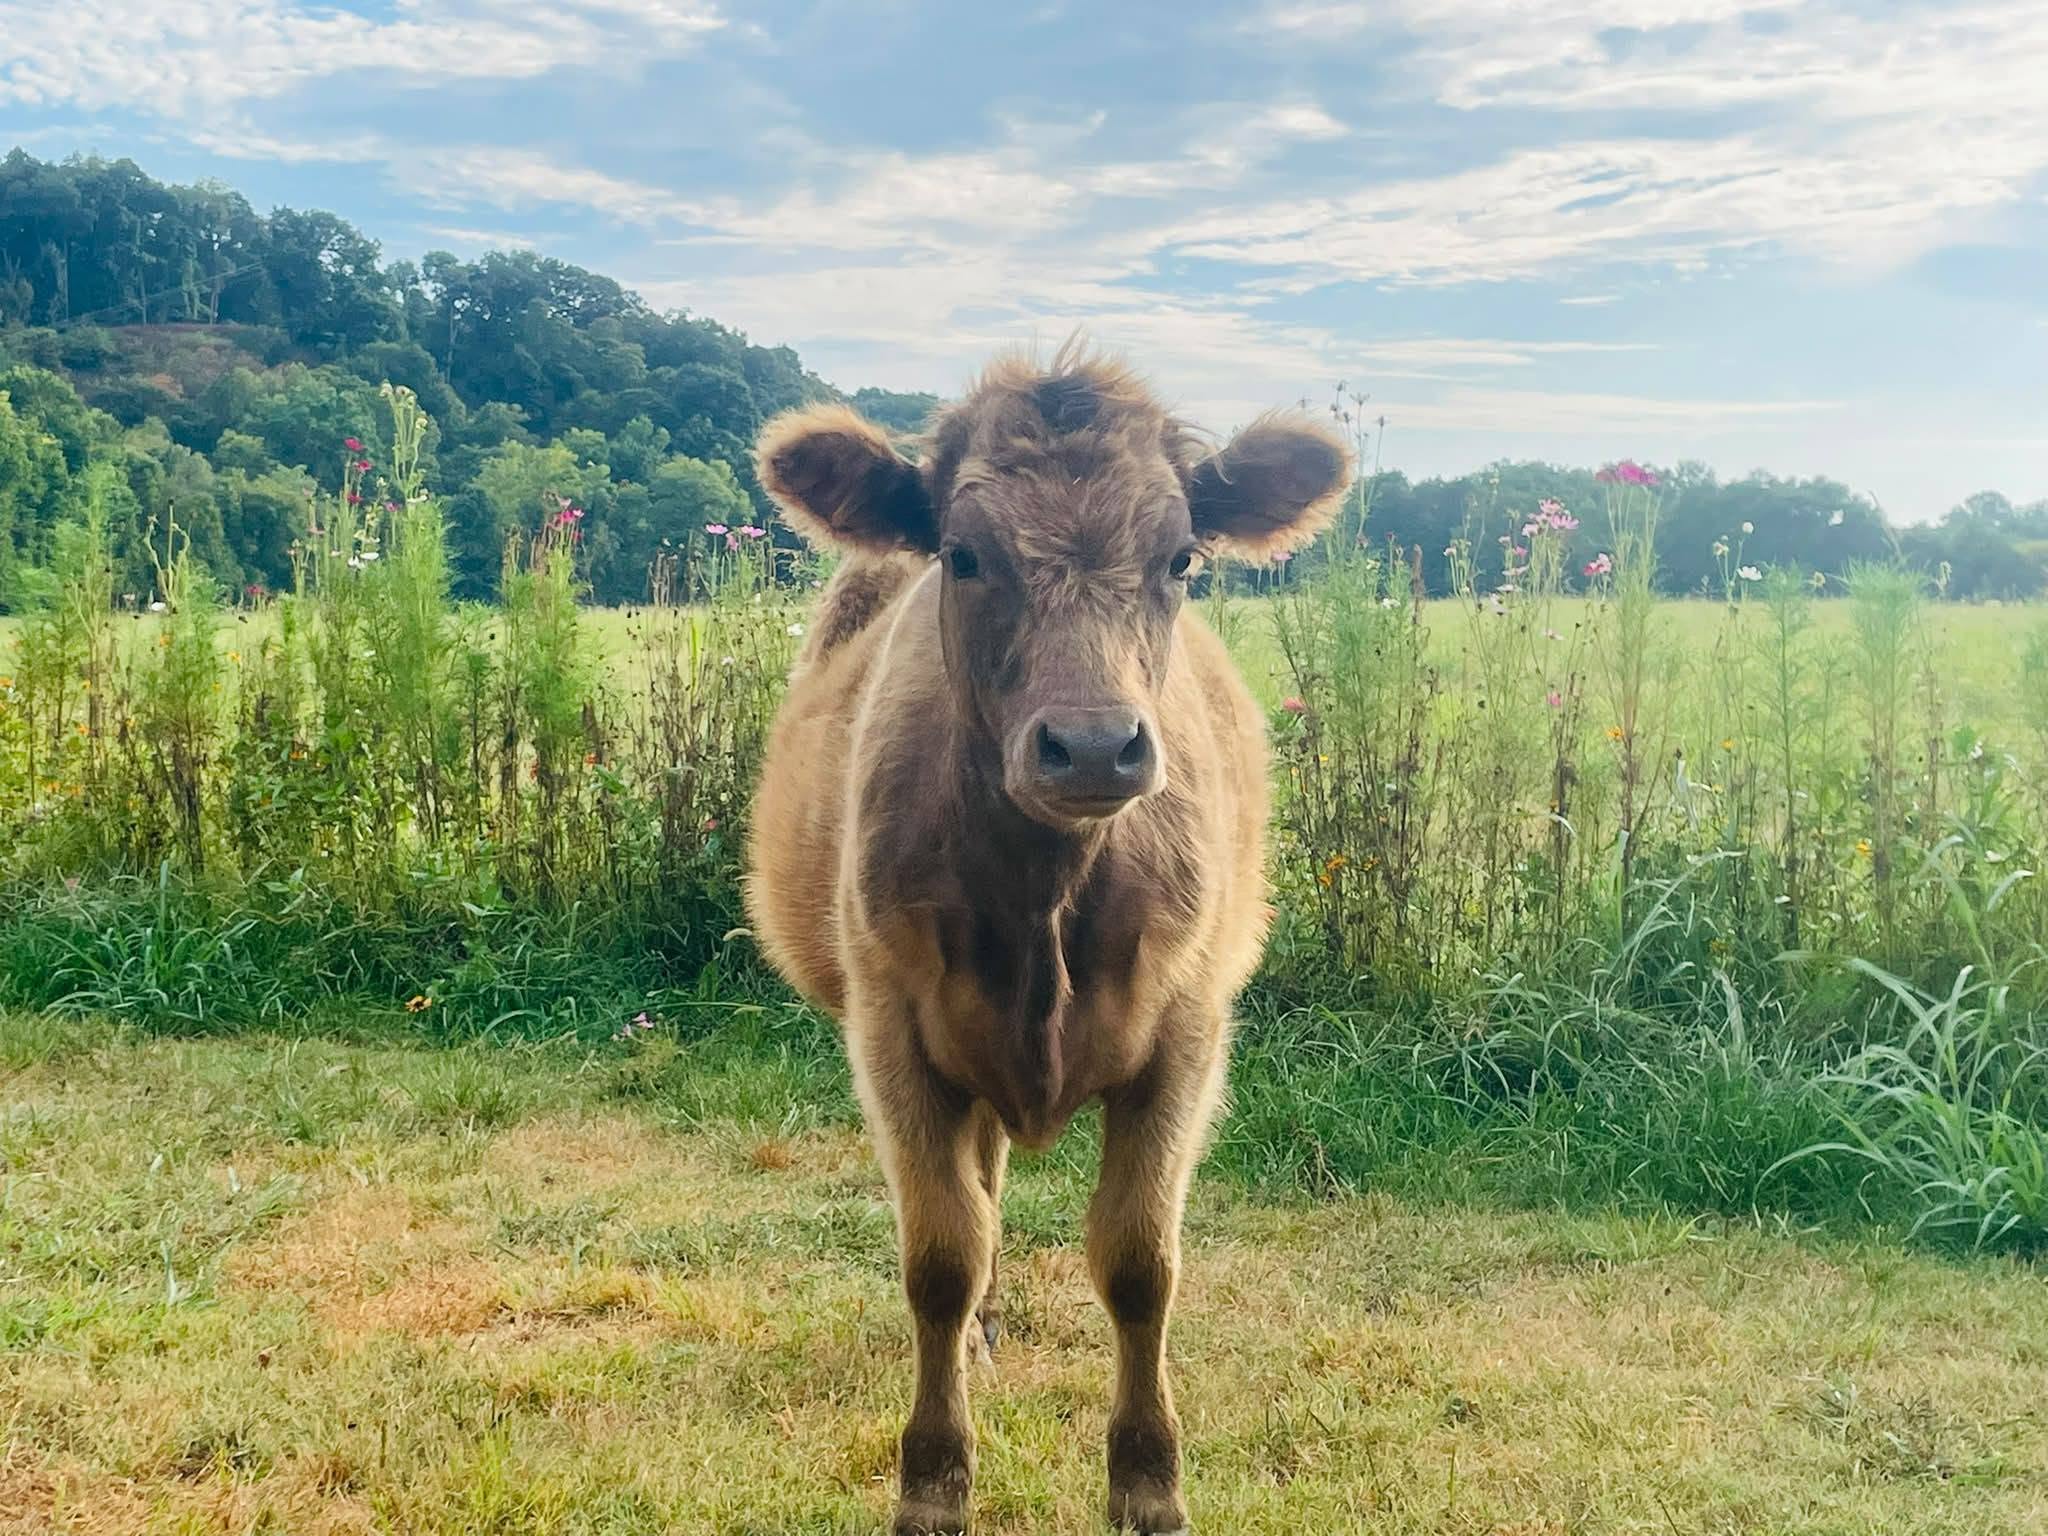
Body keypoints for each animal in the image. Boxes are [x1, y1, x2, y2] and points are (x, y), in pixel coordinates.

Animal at [746, 344, 1348, 1534]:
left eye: (1180, 558)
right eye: (963, 555)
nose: (1093, 747)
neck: (1046, 904)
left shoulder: (1187, 1036)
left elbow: (1140, 1261)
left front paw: (1149, 1483)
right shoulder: (892, 1033)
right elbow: (940, 1256)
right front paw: (933, 1485)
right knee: (975, 1204)